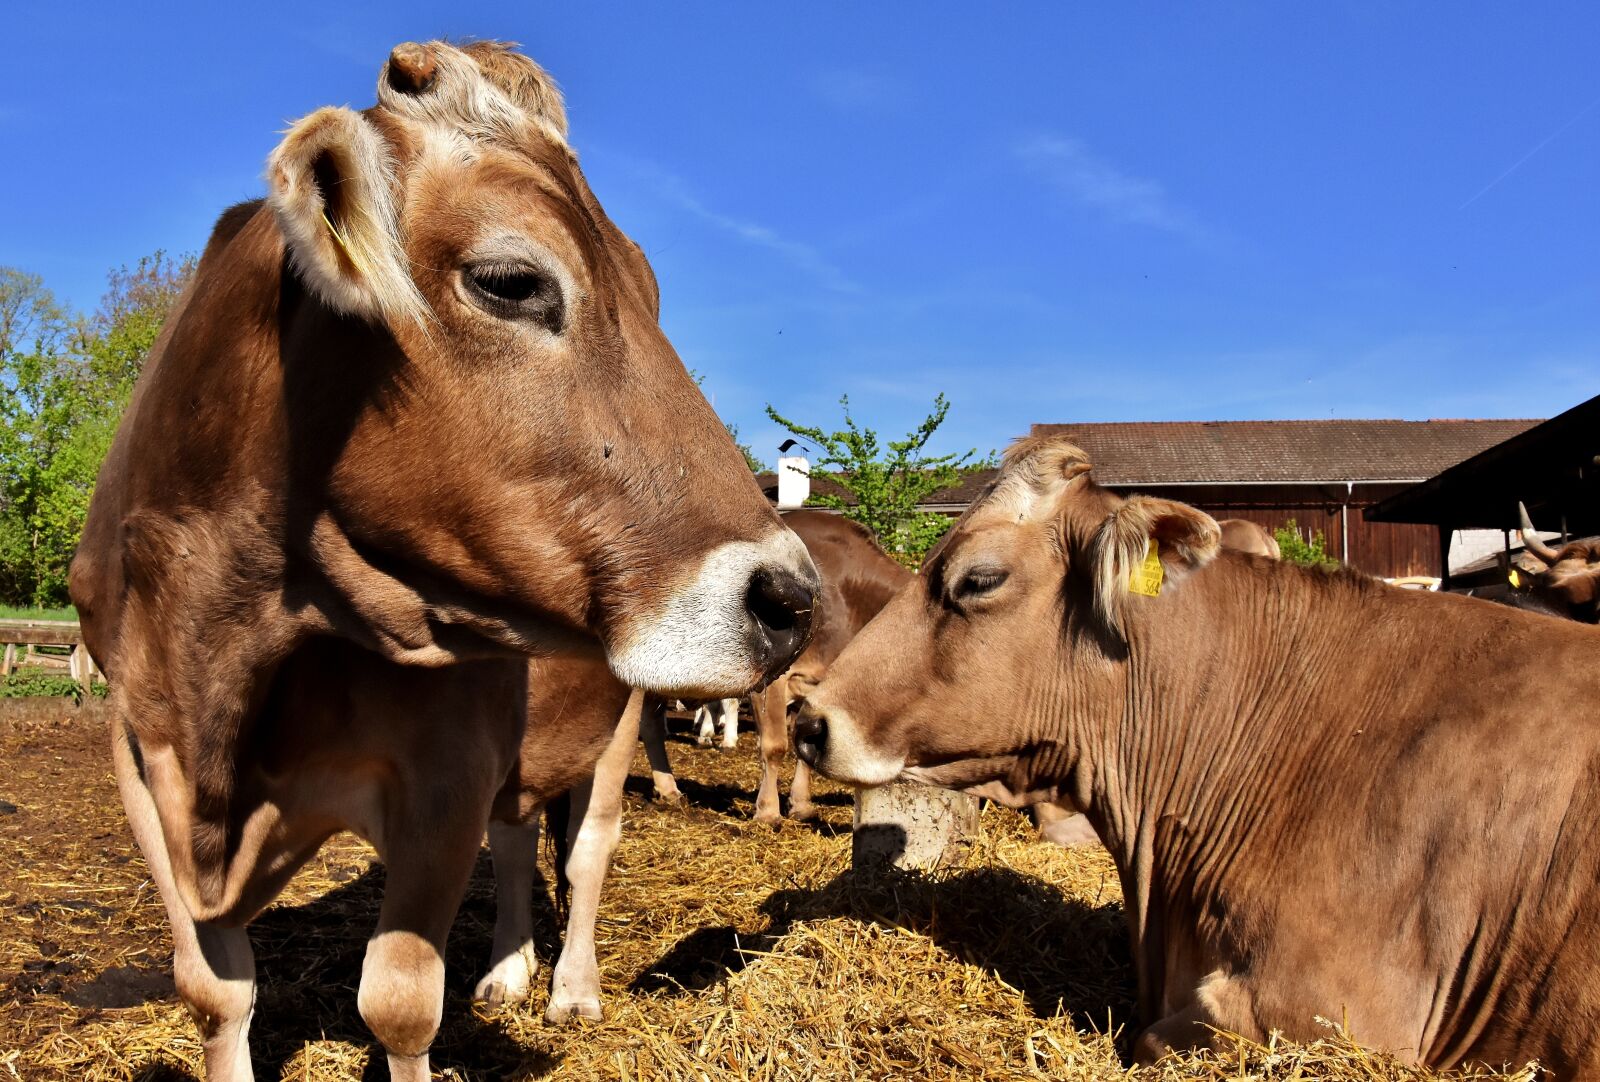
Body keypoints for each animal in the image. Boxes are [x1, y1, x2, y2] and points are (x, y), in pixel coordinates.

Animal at [70, 41, 817, 1082]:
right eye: (510, 281)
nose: (790, 596)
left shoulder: (444, 771)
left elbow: (396, 1005)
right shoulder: (141, 752)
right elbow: (214, 992)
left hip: (620, 714)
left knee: (588, 848)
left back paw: (571, 988)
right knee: (516, 837)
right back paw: (505, 972)